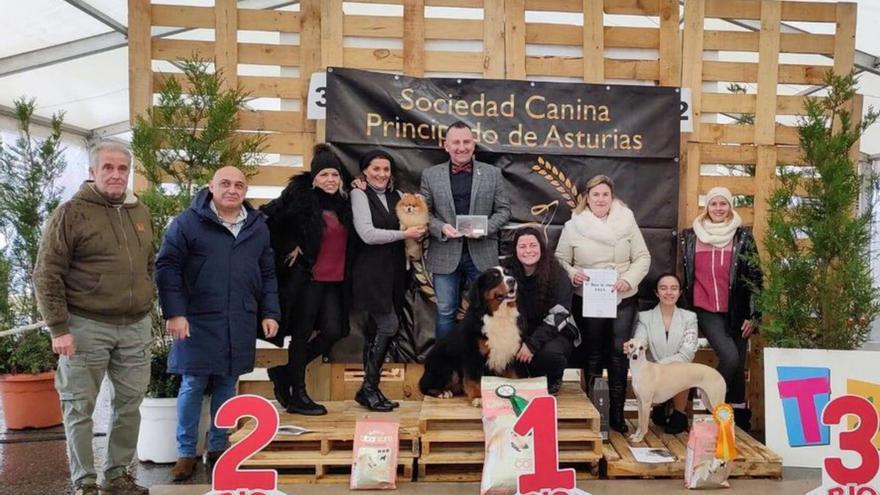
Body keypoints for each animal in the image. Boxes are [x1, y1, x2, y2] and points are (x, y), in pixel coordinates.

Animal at [420, 268, 524, 406]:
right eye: (494, 277)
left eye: (508, 274)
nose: (512, 281)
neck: (499, 315)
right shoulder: (472, 355)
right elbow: (473, 380)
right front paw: (477, 397)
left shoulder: (509, 352)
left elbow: (513, 377)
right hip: (447, 367)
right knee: (423, 386)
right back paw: (442, 392)